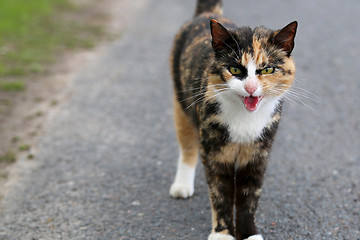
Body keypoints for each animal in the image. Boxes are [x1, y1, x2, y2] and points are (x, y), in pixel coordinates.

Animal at [169, 0, 298, 239]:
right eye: (235, 69)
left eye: (267, 69)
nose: (251, 87)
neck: (245, 120)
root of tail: (207, 14)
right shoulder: (215, 154)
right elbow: (220, 194)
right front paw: (222, 233)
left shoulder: (258, 154)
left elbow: (249, 197)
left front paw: (250, 234)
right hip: (182, 101)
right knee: (187, 144)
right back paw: (182, 185)